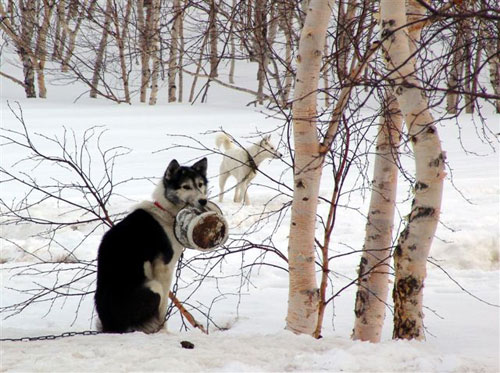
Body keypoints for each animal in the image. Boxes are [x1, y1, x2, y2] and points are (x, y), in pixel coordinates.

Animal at [94, 158, 208, 332]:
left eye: (200, 184)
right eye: (186, 186)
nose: (203, 200)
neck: (166, 212)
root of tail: (110, 325)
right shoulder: (164, 269)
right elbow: (163, 309)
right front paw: (163, 331)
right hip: (154, 287)